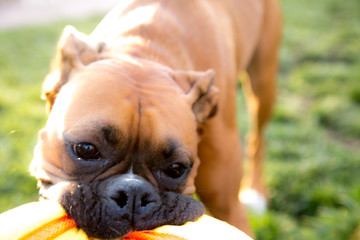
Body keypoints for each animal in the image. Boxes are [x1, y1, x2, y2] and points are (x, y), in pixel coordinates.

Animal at [30, 0, 282, 238]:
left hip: (263, 86)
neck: (143, 56)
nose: (133, 193)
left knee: (258, 136)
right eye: (86, 149)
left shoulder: (229, 208)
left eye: (176, 169)